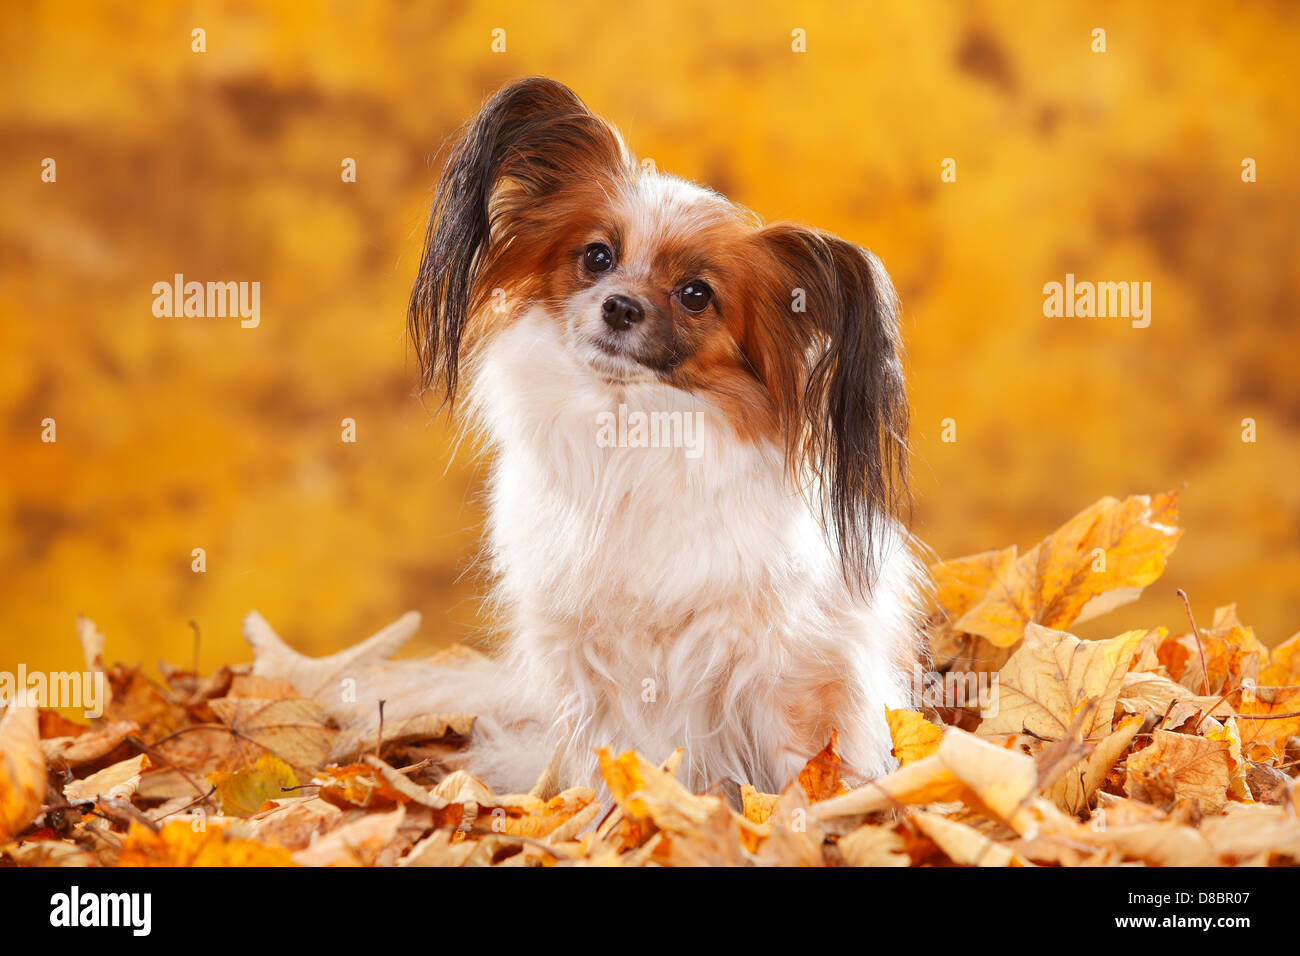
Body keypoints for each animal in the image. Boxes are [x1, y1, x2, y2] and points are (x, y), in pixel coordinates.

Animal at [327, 80, 925, 801]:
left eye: (696, 295)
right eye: (597, 257)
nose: (619, 306)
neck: (628, 430)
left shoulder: (787, 660)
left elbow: (802, 764)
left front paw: (808, 813)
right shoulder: (588, 665)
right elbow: (608, 762)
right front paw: (610, 814)